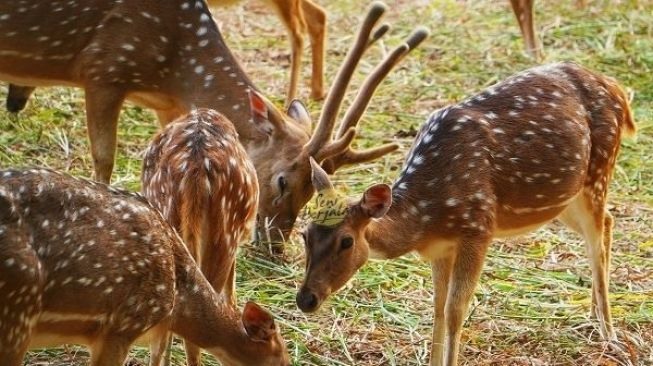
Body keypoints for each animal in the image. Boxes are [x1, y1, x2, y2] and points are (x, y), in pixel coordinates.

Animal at [0, 0, 426, 252]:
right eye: (282, 180)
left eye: (313, 191)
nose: (275, 245)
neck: (172, 69)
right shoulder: (104, 68)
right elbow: (104, 159)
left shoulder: (167, 107)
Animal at [298, 61, 636, 364]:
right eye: (305, 234)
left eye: (347, 241)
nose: (305, 299)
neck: (427, 218)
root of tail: (618, 89)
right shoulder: (440, 248)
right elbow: (436, 306)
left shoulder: (477, 228)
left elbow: (455, 311)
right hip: (564, 199)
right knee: (607, 223)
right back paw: (592, 311)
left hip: (599, 171)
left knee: (598, 236)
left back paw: (610, 334)